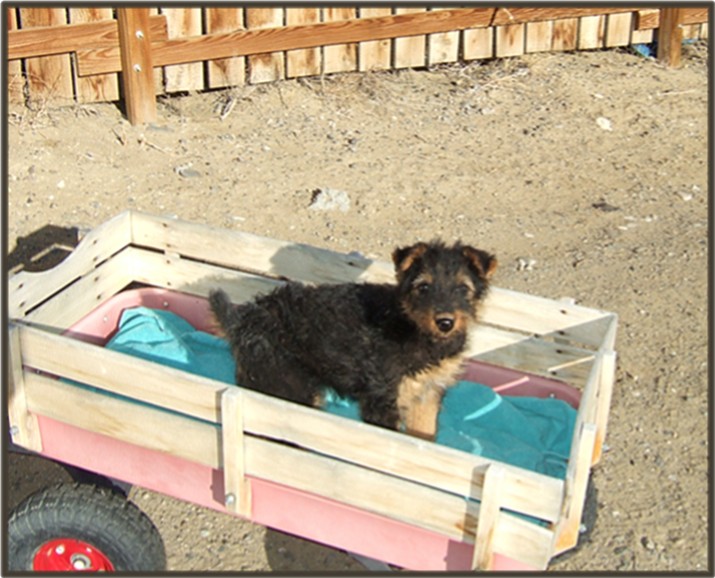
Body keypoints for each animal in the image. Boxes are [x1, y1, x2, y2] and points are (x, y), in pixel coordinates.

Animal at [210, 241, 496, 438]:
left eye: (463, 288)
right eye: (423, 287)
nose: (445, 322)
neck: (413, 327)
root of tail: (241, 317)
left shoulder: (427, 393)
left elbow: (423, 437)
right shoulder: (383, 397)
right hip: (287, 384)